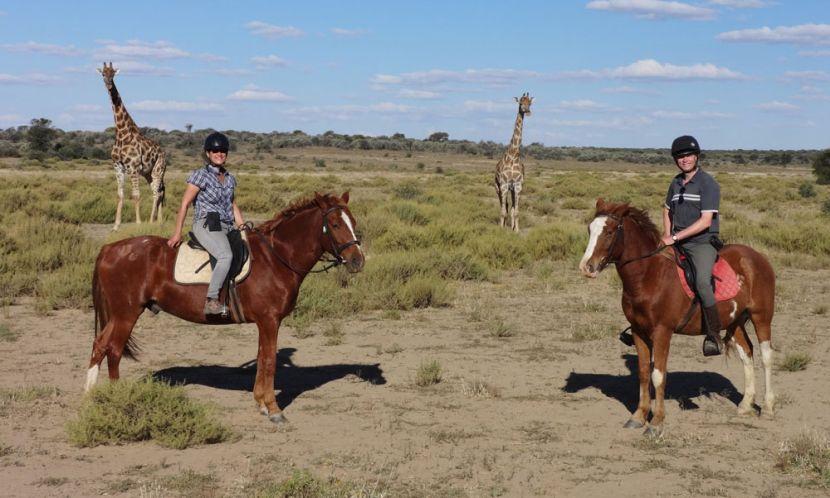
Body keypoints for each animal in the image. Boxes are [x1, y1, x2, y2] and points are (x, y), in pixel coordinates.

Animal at [85, 193, 368, 422]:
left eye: (353, 222)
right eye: (335, 224)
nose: (358, 261)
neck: (276, 258)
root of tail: (109, 248)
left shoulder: (265, 323)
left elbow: (262, 358)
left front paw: (261, 404)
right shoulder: (270, 320)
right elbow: (269, 361)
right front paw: (274, 409)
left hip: (121, 314)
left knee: (102, 346)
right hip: (126, 313)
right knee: (112, 349)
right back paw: (115, 398)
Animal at [98, 61, 167, 231]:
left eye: (113, 74)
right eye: (103, 73)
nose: (109, 84)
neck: (122, 134)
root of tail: (164, 153)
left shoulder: (133, 167)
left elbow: (136, 195)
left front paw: (138, 224)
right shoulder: (118, 166)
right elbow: (120, 194)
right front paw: (116, 226)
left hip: (158, 170)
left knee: (157, 193)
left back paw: (151, 221)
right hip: (148, 173)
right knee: (159, 191)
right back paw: (159, 221)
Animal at [494, 93, 532, 231]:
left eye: (530, 103)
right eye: (520, 103)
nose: (527, 111)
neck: (514, 155)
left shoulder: (518, 185)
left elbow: (515, 211)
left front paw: (516, 230)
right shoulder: (504, 185)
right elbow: (503, 211)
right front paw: (501, 229)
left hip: (511, 189)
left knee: (509, 207)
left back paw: (510, 227)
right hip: (498, 187)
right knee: (503, 205)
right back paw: (503, 226)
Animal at [580, 198, 780, 436]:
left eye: (609, 232)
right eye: (590, 229)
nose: (586, 267)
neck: (649, 276)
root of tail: (757, 257)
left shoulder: (662, 332)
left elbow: (658, 375)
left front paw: (656, 422)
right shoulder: (638, 332)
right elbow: (644, 373)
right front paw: (638, 417)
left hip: (762, 316)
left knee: (766, 356)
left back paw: (767, 408)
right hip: (736, 320)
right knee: (747, 354)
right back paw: (745, 405)